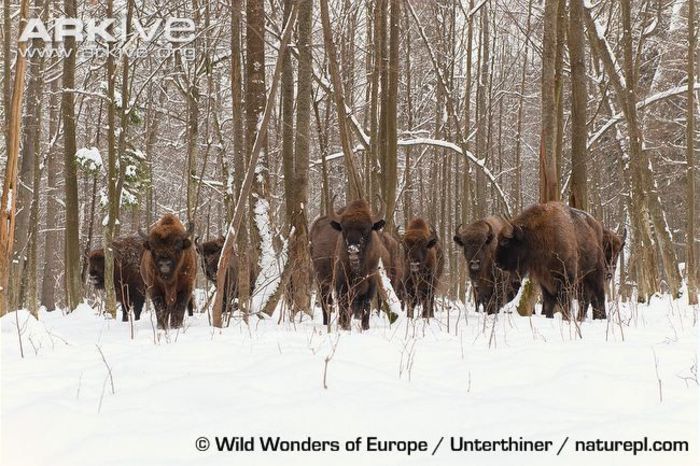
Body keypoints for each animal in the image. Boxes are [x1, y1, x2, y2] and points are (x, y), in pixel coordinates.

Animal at [328, 200, 388, 332]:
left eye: (366, 229)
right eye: (344, 229)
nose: (353, 250)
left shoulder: (371, 284)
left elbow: (366, 307)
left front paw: (365, 327)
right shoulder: (342, 284)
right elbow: (345, 306)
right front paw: (346, 327)